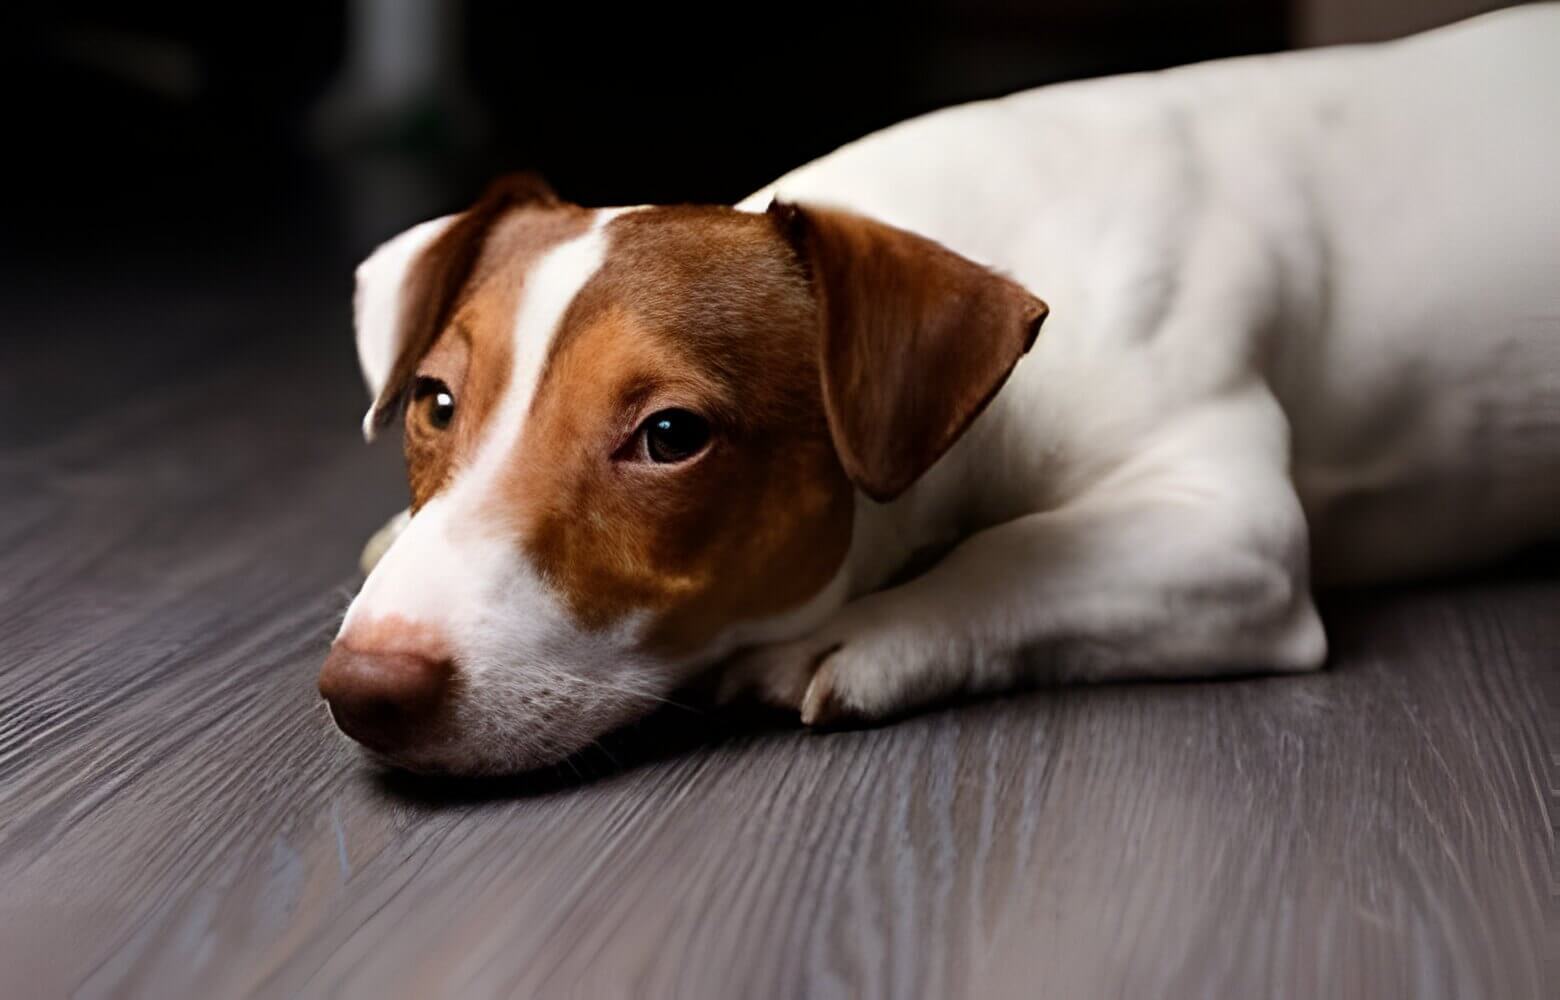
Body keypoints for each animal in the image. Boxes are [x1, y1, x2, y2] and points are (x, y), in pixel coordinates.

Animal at [316, 3, 1560, 776]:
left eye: (670, 434)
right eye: (433, 402)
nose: (365, 685)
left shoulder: (1231, 529)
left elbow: (1015, 556)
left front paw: (867, 634)